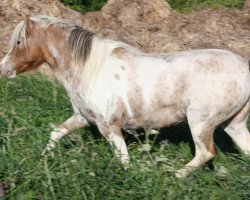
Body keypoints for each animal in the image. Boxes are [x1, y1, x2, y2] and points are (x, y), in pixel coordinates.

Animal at [0, 15, 250, 177]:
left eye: (19, 42)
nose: (3, 69)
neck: (89, 69)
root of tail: (244, 69)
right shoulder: (83, 118)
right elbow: (56, 132)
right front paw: (44, 159)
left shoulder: (109, 126)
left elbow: (123, 158)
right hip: (234, 124)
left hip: (200, 122)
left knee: (205, 152)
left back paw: (175, 176)